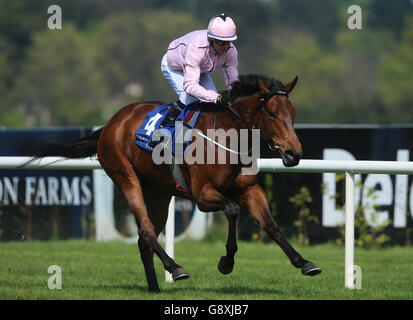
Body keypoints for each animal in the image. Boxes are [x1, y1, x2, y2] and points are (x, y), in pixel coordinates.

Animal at [32, 74, 322, 292]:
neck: (226, 137)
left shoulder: (249, 190)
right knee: (147, 230)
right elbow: (232, 210)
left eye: (293, 112)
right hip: (125, 177)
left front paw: (304, 262)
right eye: (272, 113)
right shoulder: (202, 195)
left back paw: (154, 287)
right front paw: (226, 262)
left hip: (159, 192)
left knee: (144, 239)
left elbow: (271, 225)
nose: (294, 154)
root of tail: (111, 123)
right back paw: (175, 268)